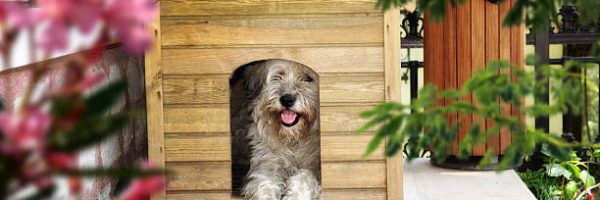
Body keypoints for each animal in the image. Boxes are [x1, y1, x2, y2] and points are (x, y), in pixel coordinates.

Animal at [232, 59, 322, 200]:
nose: (287, 99)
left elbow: (305, 176)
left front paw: (295, 195)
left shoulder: (315, 167)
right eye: (279, 75)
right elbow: (264, 183)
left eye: (308, 78)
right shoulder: (267, 162)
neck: (293, 138)